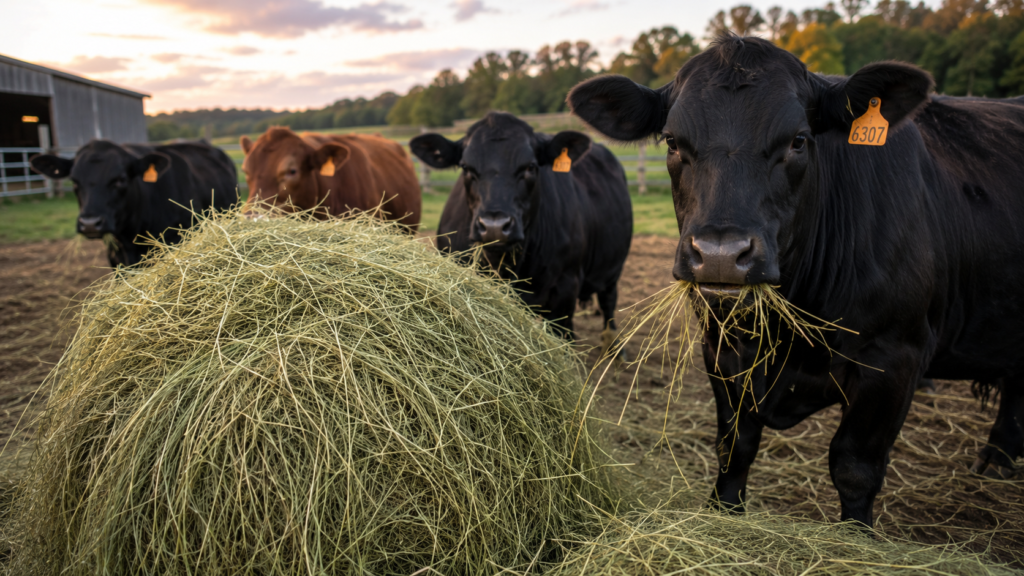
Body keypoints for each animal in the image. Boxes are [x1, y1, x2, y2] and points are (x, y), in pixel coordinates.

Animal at [410, 112, 632, 345]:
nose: (495, 226)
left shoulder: (565, 290)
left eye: (531, 167)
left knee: (608, 303)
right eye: (465, 167)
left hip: (614, 269)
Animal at [568, 35, 1024, 527]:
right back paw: (999, 457)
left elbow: (855, 467)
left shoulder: (895, 357)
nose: (721, 256)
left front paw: (855, 536)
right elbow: (734, 447)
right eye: (672, 141)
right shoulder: (720, 349)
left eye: (799, 141)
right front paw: (725, 511)